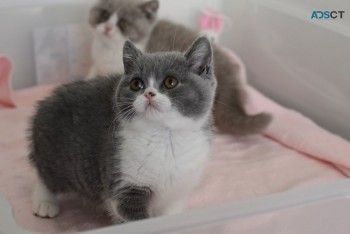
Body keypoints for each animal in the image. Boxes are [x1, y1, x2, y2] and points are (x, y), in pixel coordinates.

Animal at [28, 37, 217, 222]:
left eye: (171, 82)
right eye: (136, 84)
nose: (149, 93)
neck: (164, 136)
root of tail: (45, 102)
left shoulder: (176, 194)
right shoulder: (124, 186)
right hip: (59, 159)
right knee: (44, 175)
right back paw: (44, 203)